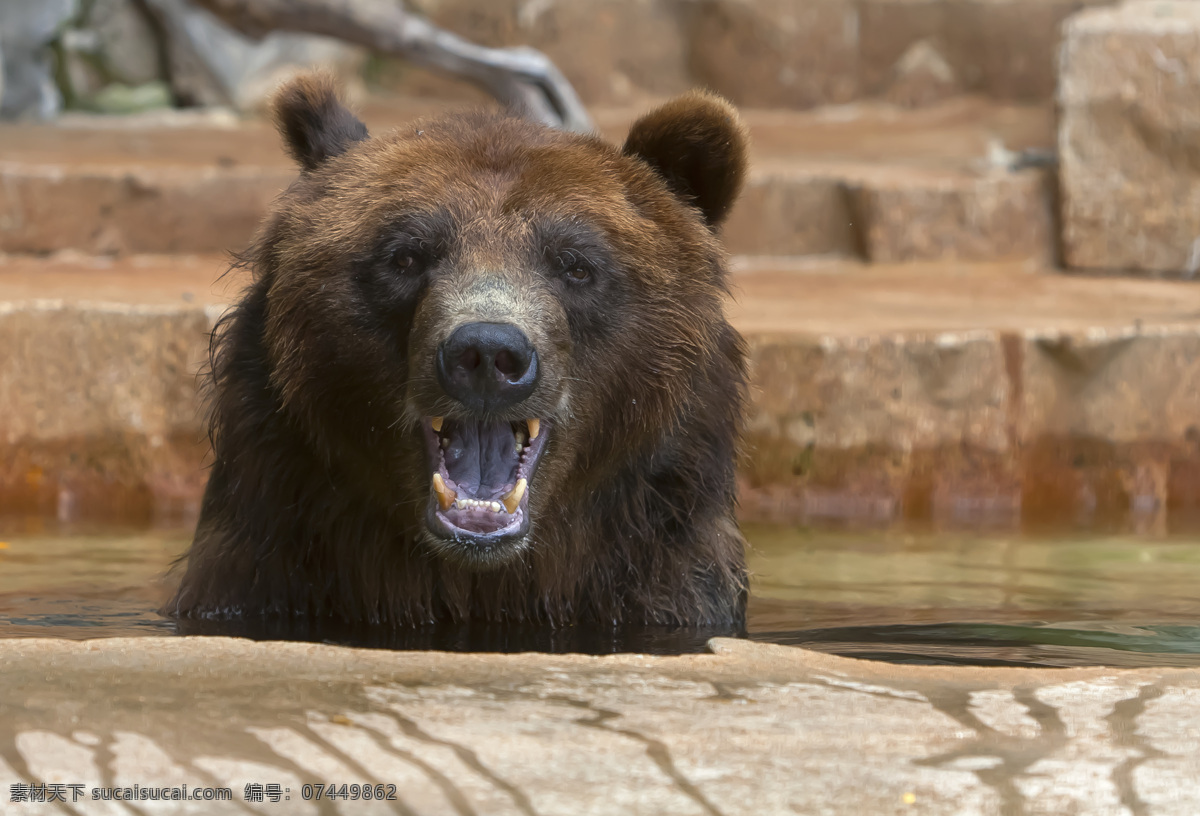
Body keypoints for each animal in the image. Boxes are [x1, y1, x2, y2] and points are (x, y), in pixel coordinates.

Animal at [167, 75, 750, 631]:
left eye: (576, 263)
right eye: (405, 255)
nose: (488, 353)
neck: (482, 583)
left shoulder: (659, 572)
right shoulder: (269, 568)